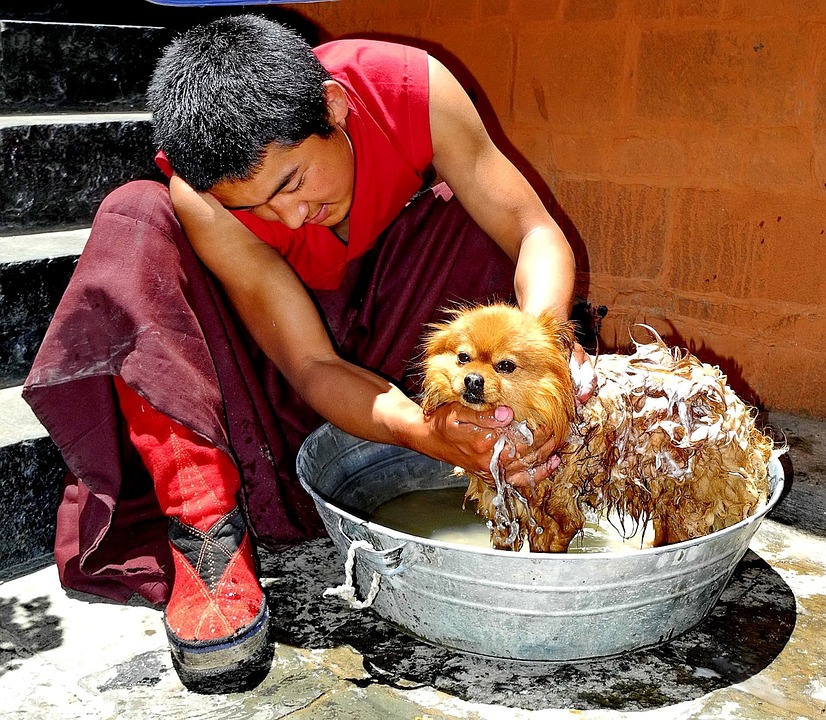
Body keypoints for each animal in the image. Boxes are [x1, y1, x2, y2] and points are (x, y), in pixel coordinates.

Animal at [422, 302, 776, 552]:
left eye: (505, 366)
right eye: (463, 358)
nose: (472, 380)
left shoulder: (556, 516)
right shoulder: (504, 515)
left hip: (688, 506)